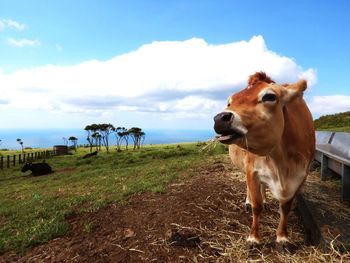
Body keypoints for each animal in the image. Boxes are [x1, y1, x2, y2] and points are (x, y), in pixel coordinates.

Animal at [213, 72, 314, 248]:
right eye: (229, 102)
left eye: (269, 96)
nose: (220, 118)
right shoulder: (252, 170)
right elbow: (256, 206)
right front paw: (254, 238)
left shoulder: (301, 175)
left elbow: (285, 207)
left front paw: (282, 237)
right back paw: (248, 202)